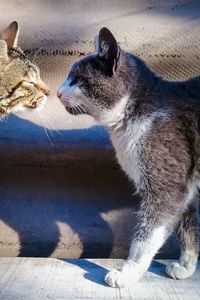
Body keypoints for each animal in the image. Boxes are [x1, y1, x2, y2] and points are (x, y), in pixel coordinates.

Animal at [57, 28, 199, 288]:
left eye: (78, 79)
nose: (57, 92)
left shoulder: (167, 185)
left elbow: (146, 236)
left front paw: (127, 273)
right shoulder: (186, 185)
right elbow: (187, 228)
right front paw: (186, 266)